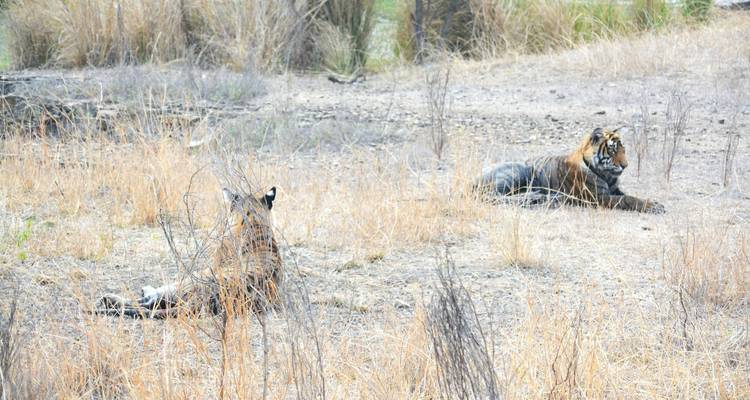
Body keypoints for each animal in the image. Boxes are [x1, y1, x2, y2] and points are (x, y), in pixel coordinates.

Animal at [474, 128, 665, 214]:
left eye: (623, 150)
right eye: (612, 150)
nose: (625, 165)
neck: (606, 174)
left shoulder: (614, 189)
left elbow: (631, 195)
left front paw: (654, 202)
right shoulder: (598, 197)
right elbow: (628, 199)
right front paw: (653, 206)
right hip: (518, 171)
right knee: (492, 197)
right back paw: (540, 197)